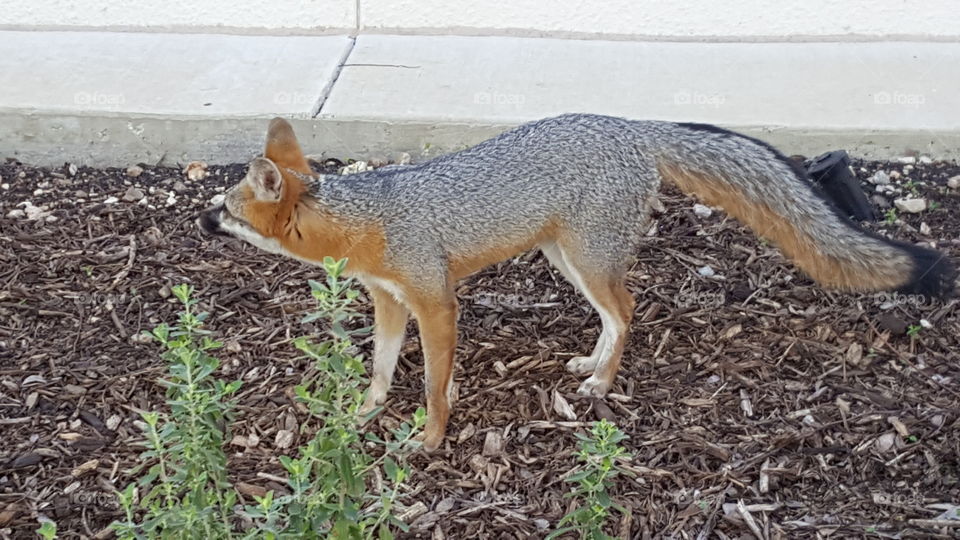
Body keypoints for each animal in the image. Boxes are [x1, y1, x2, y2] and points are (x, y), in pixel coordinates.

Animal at [198, 113, 956, 452]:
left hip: (586, 261)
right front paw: (364, 413)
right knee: (615, 314)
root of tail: (633, 126)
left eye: (229, 210)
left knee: (630, 308)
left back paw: (601, 383)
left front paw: (431, 438)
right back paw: (591, 366)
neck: (370, 221)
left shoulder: (438, 303)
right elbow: (383, 369)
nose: (200, 219)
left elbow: (432, 382)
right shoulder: (389, 303)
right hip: (566, 259)